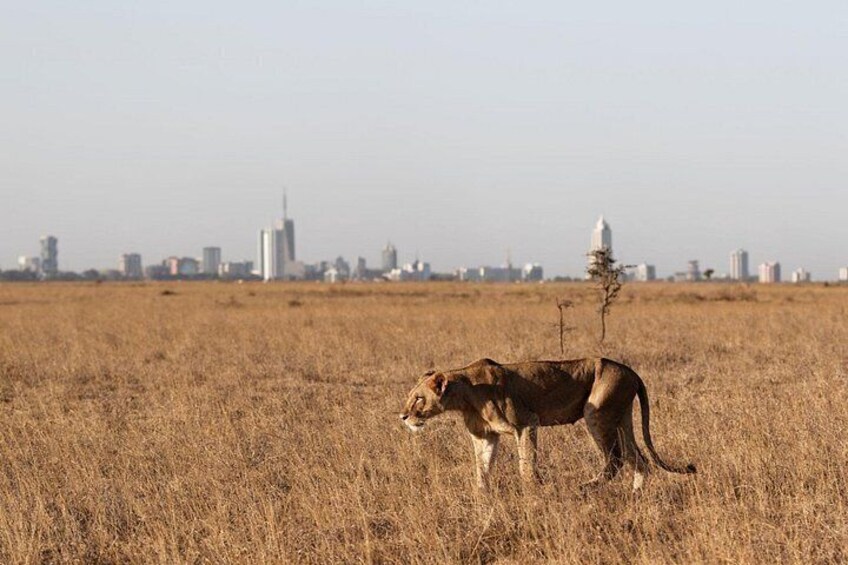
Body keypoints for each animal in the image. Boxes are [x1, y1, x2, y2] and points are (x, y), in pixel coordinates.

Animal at [400, 357, 695, 491]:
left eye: (418, 399)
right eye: (409, 396)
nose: (402, 416)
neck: (465, 395)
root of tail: (630, 371)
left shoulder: (526, 423)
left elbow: (526, 464)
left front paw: (534, 491)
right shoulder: (485, 436)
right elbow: (481, 468)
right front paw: (481, 496)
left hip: (596, 413)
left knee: (615, 460)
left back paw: (585, 487)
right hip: (621, 417)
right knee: (639, 459)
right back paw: (636, 495)